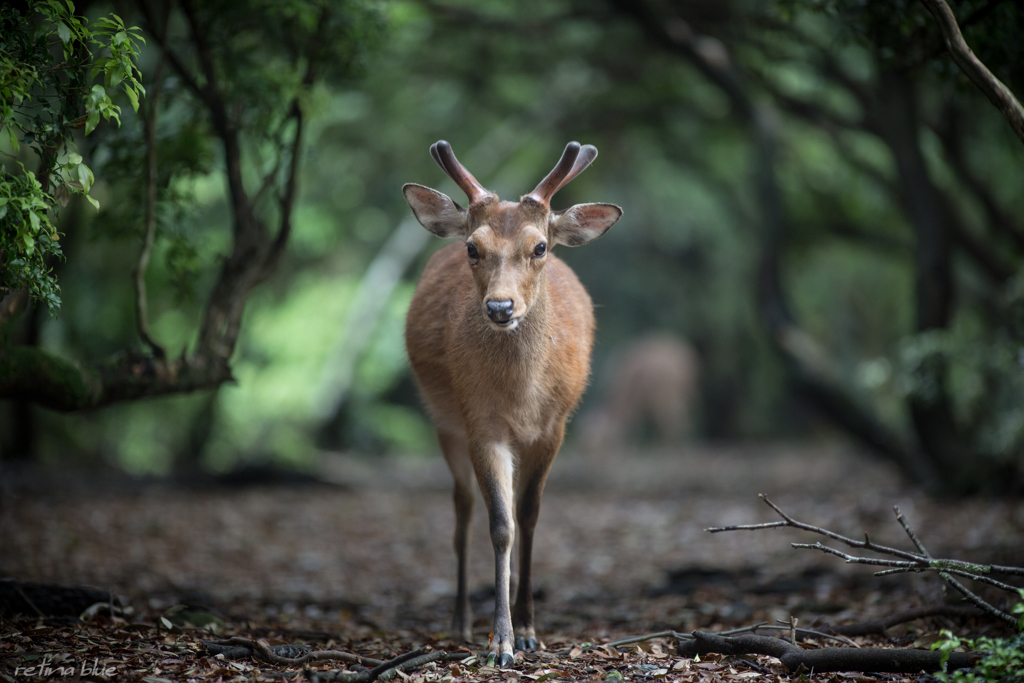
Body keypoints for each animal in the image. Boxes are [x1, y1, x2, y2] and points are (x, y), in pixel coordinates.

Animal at [403, 140, 618, 667]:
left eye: (539, 247)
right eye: (472, 248)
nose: (500, 307)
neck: (521, 396)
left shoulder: (554, 427)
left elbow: (530, 516)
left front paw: (527, 630)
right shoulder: (480, 424)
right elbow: (501, 525)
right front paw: (499, 641)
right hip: (444, 421)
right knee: (462, 510)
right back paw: (460, 620)